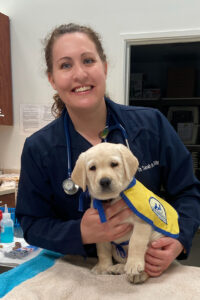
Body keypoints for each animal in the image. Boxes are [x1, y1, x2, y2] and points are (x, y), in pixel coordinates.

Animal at [72, 143, 166, 284]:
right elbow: (102, 250)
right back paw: (119, 268)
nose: (105, 181)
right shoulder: (100, 230)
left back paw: (140, 274)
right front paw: (103, 267)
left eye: (114, 164)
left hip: (155, 242)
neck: (112, 200)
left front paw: (134, 265)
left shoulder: (142, 222)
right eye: (92, 168)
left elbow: (135, 242)